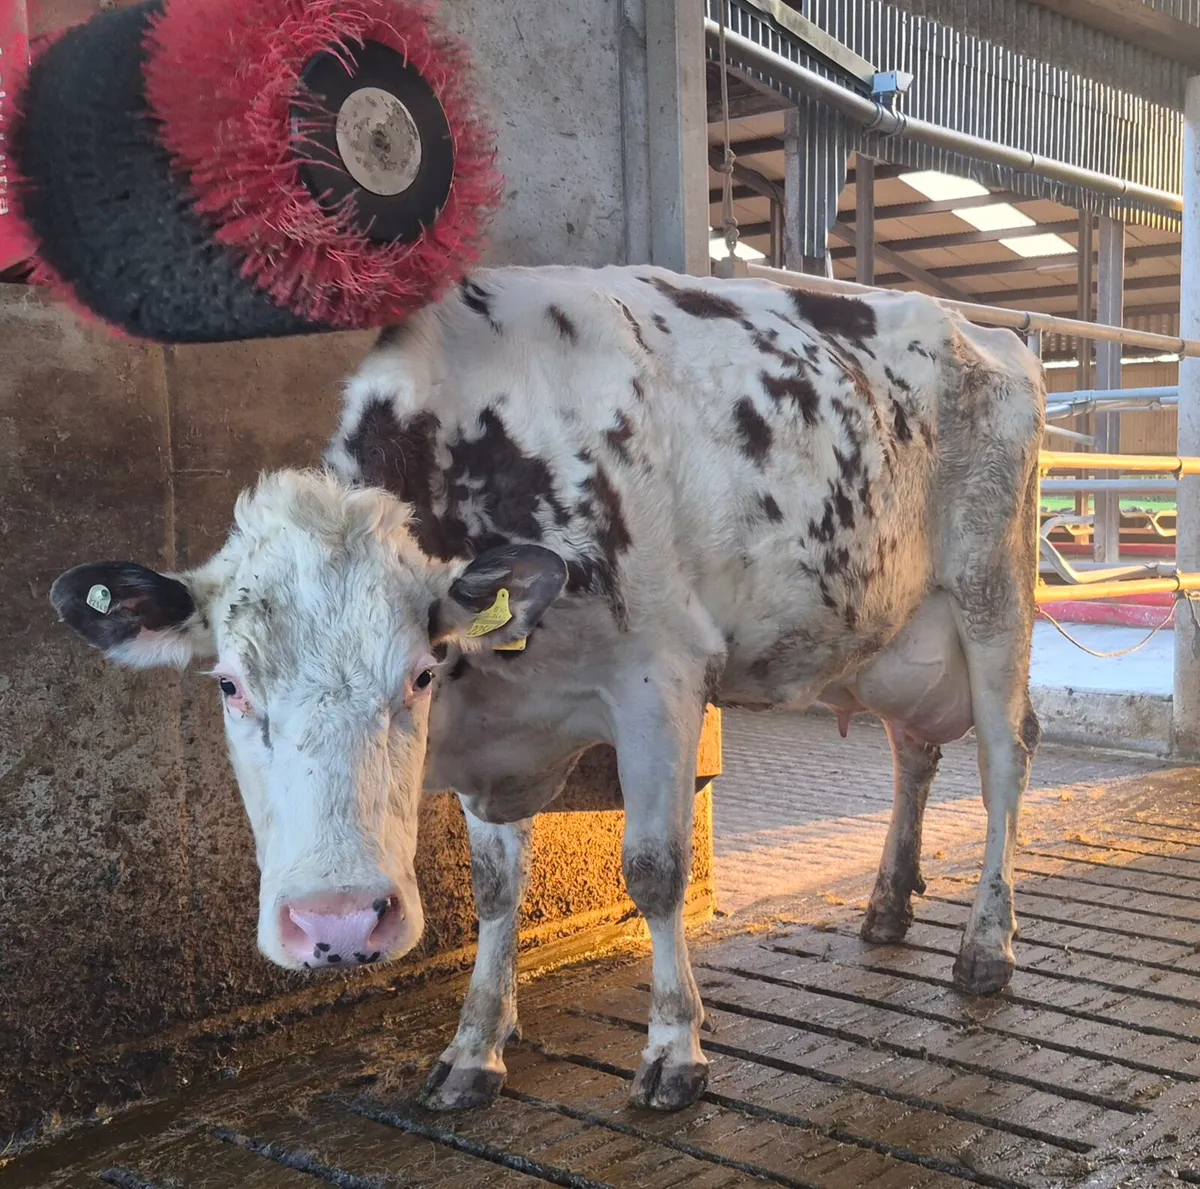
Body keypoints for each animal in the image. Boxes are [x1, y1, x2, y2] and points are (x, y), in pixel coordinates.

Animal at [50, 264, 1044, 1114]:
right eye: (228, 683)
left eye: (416, 672)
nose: (339, 922)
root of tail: (990, 331)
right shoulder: (497, 741)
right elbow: (496, 890)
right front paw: (473, 1046)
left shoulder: (661, 677)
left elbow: (654, 871)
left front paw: (675, 1048)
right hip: (895, 629)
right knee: (913, 748)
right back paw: (887, 902)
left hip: (993, 597)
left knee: (1005, 757)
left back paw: (986, 944)